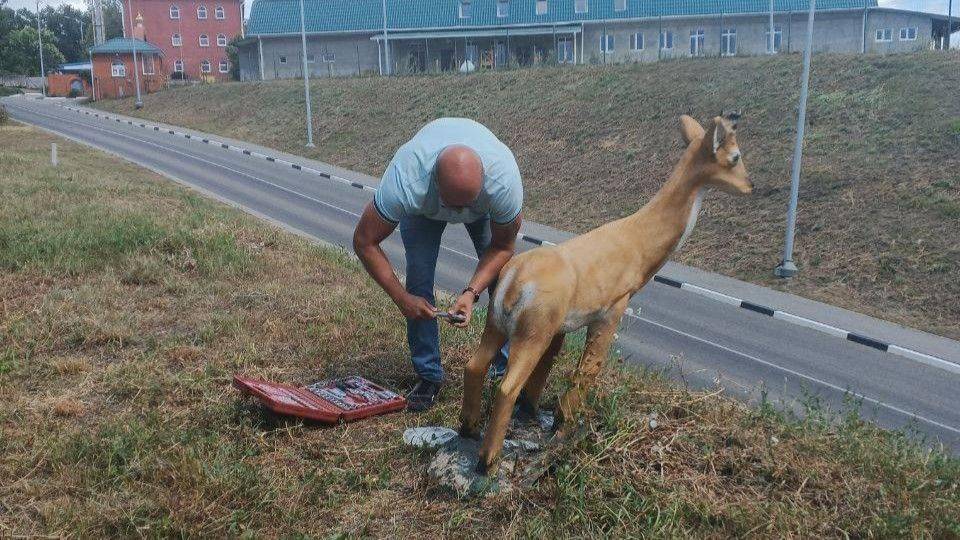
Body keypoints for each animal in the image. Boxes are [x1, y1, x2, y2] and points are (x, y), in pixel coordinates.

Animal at [462, 113, 752, 472]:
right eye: (735, 156)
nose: (752, 187)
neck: (637, 246)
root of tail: (512, 281)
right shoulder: (612, 307)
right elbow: (589, 368)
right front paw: (566, 425)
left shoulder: (562, 327)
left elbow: (549, 370)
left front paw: (537, 415)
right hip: (532, 330)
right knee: (506, 386)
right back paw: (487, 461)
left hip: (497, 322)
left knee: (475, 365)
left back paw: (468, 429)